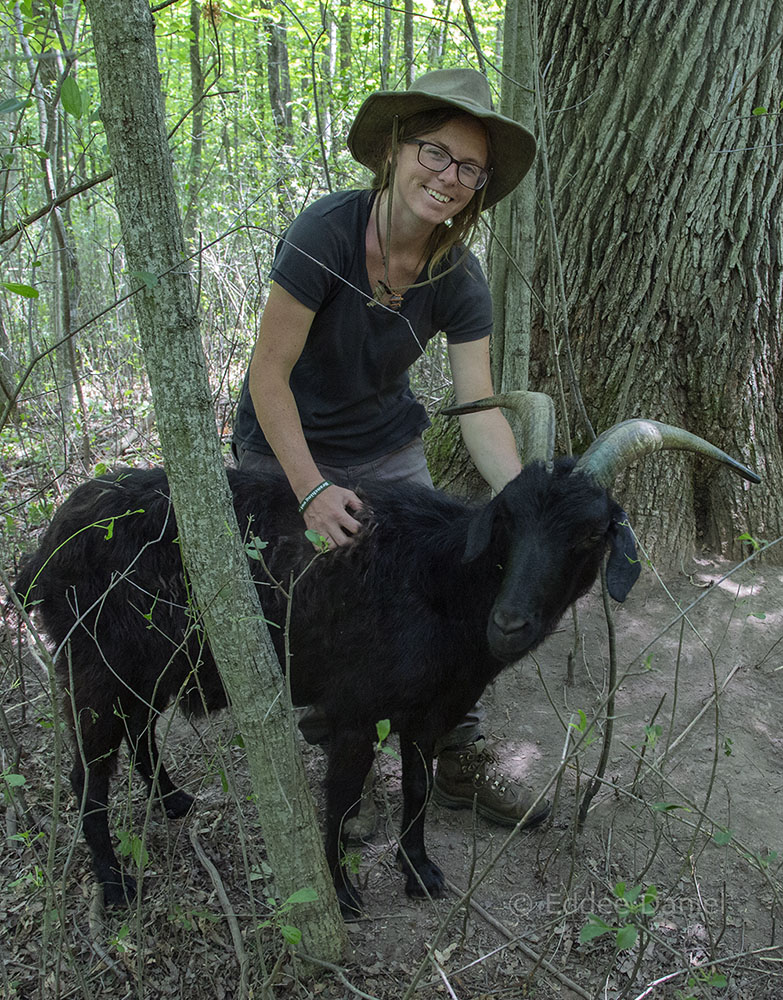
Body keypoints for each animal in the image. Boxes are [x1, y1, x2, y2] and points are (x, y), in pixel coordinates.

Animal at [12, 404, 760, 916]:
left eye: (587, 535)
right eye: (509, 520)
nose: (509, 624)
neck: (440, 580)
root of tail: (45, 547)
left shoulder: (431, 711)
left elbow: (421, 788)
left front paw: (420, 873)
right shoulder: (352, 710)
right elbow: (340, 797)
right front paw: (343, 893)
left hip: (151, 668)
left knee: (139, 733)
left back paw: (172, 802)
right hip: (93, 667)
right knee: (88, 774)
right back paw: (115, 886)